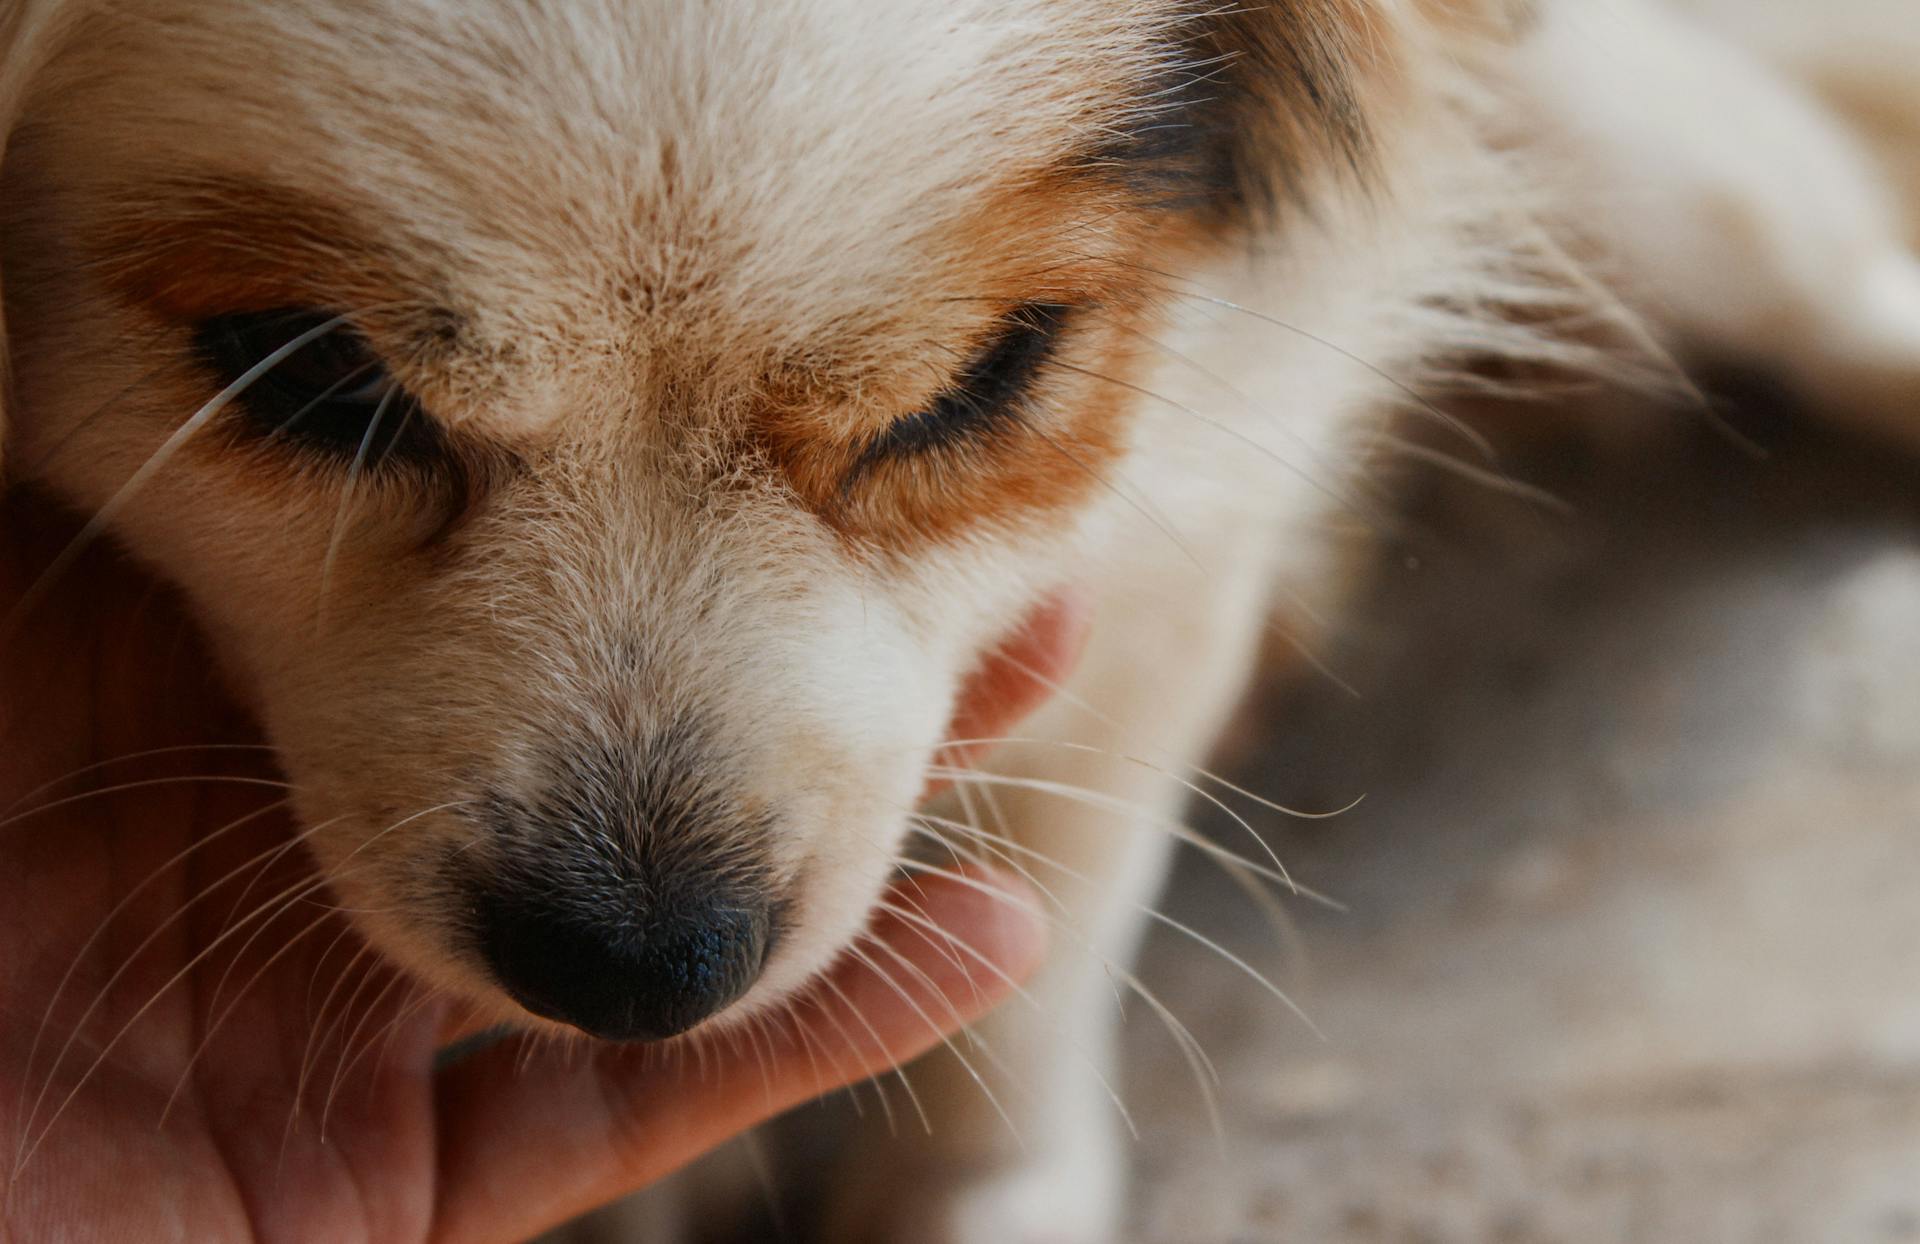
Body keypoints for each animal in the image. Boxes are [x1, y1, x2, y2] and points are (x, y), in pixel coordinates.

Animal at [0, 4, 1912, 1236]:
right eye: (303, 374)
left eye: (979, 385)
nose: (641, 962)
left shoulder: (1162, 547)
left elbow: (1033, 974)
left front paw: (975, 1185)